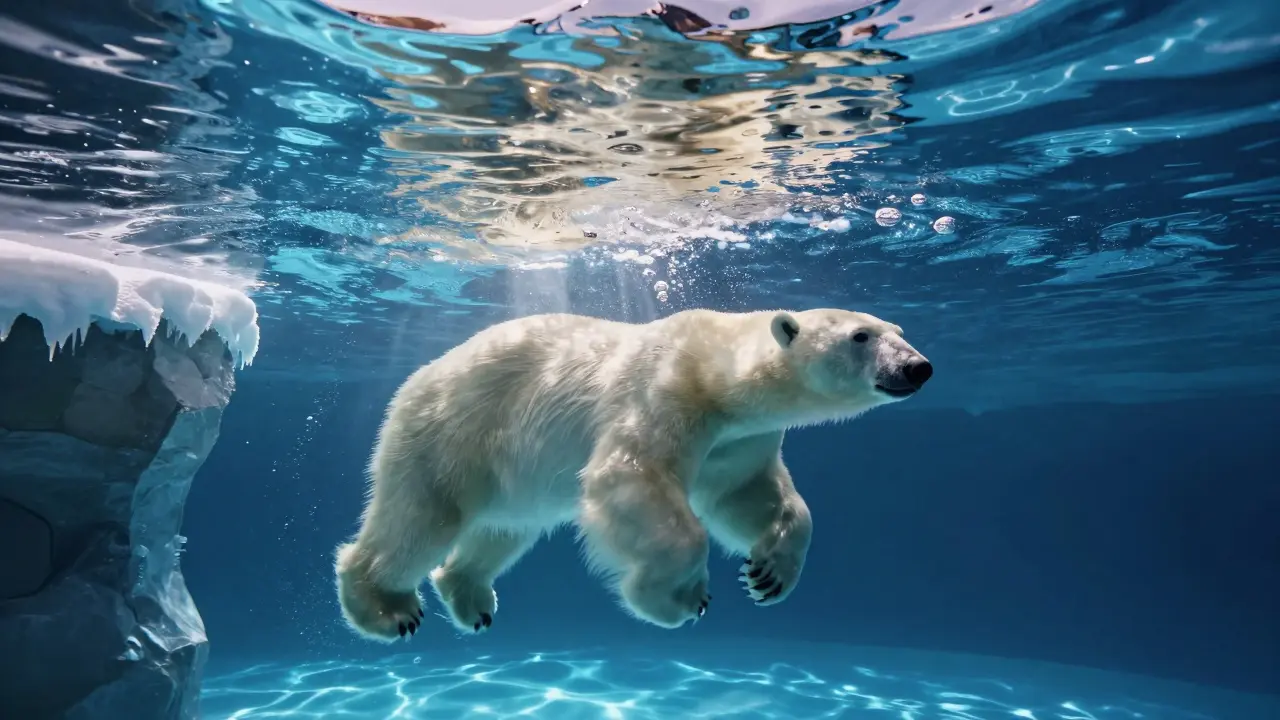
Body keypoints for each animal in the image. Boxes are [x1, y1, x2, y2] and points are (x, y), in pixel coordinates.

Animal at [334, 307, 932, 641]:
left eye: (898, 328)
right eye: (860, 336)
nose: (918, 367)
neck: (717, 371)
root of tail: (414, 381)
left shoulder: (738, 439)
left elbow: (748, 495)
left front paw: (769, 573)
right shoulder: (665, 390)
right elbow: (628, 476)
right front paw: (678, 599)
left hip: (507, 474)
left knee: (503, 530)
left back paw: (470, 597)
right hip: (450, 434)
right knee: (420, 521)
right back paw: (385, 608)